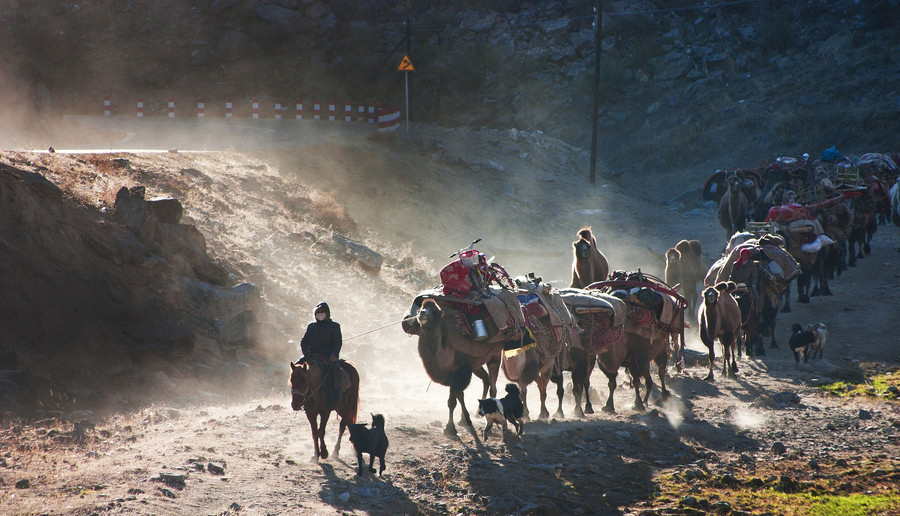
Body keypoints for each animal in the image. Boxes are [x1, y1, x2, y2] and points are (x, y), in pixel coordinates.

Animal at [412, 300, 502, 438]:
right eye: (419, 309)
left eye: (434, 311)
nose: (422, 313)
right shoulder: (457, 375)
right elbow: (460, 396)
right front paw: (465, 420)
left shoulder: (460, 373)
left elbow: (452, 401)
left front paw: (450, 428)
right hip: (476, 365)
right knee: (486, 379)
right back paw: (478, 412)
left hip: (495, 355)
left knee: (493, 386)